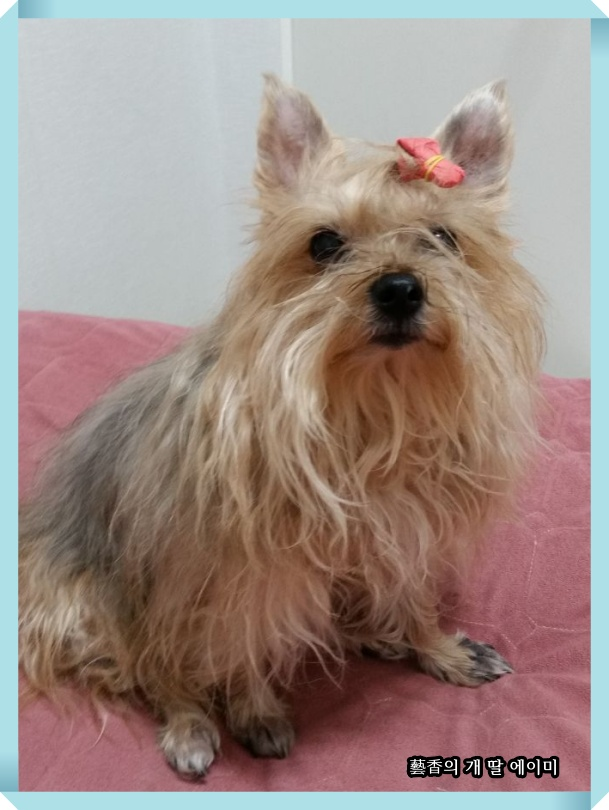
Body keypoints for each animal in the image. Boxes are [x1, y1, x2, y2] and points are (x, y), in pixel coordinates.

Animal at [19, 75, 544, 779]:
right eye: (324, 244)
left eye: (444, 237)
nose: (400, 287)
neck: (372, 400)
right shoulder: (235, 570)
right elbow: (239, 642)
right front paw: (255, 709)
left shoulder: (408, 525)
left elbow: (412, 594)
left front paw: (435, 645)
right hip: (98, 602)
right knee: (151, 663)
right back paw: (188, 720)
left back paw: (375, 634)